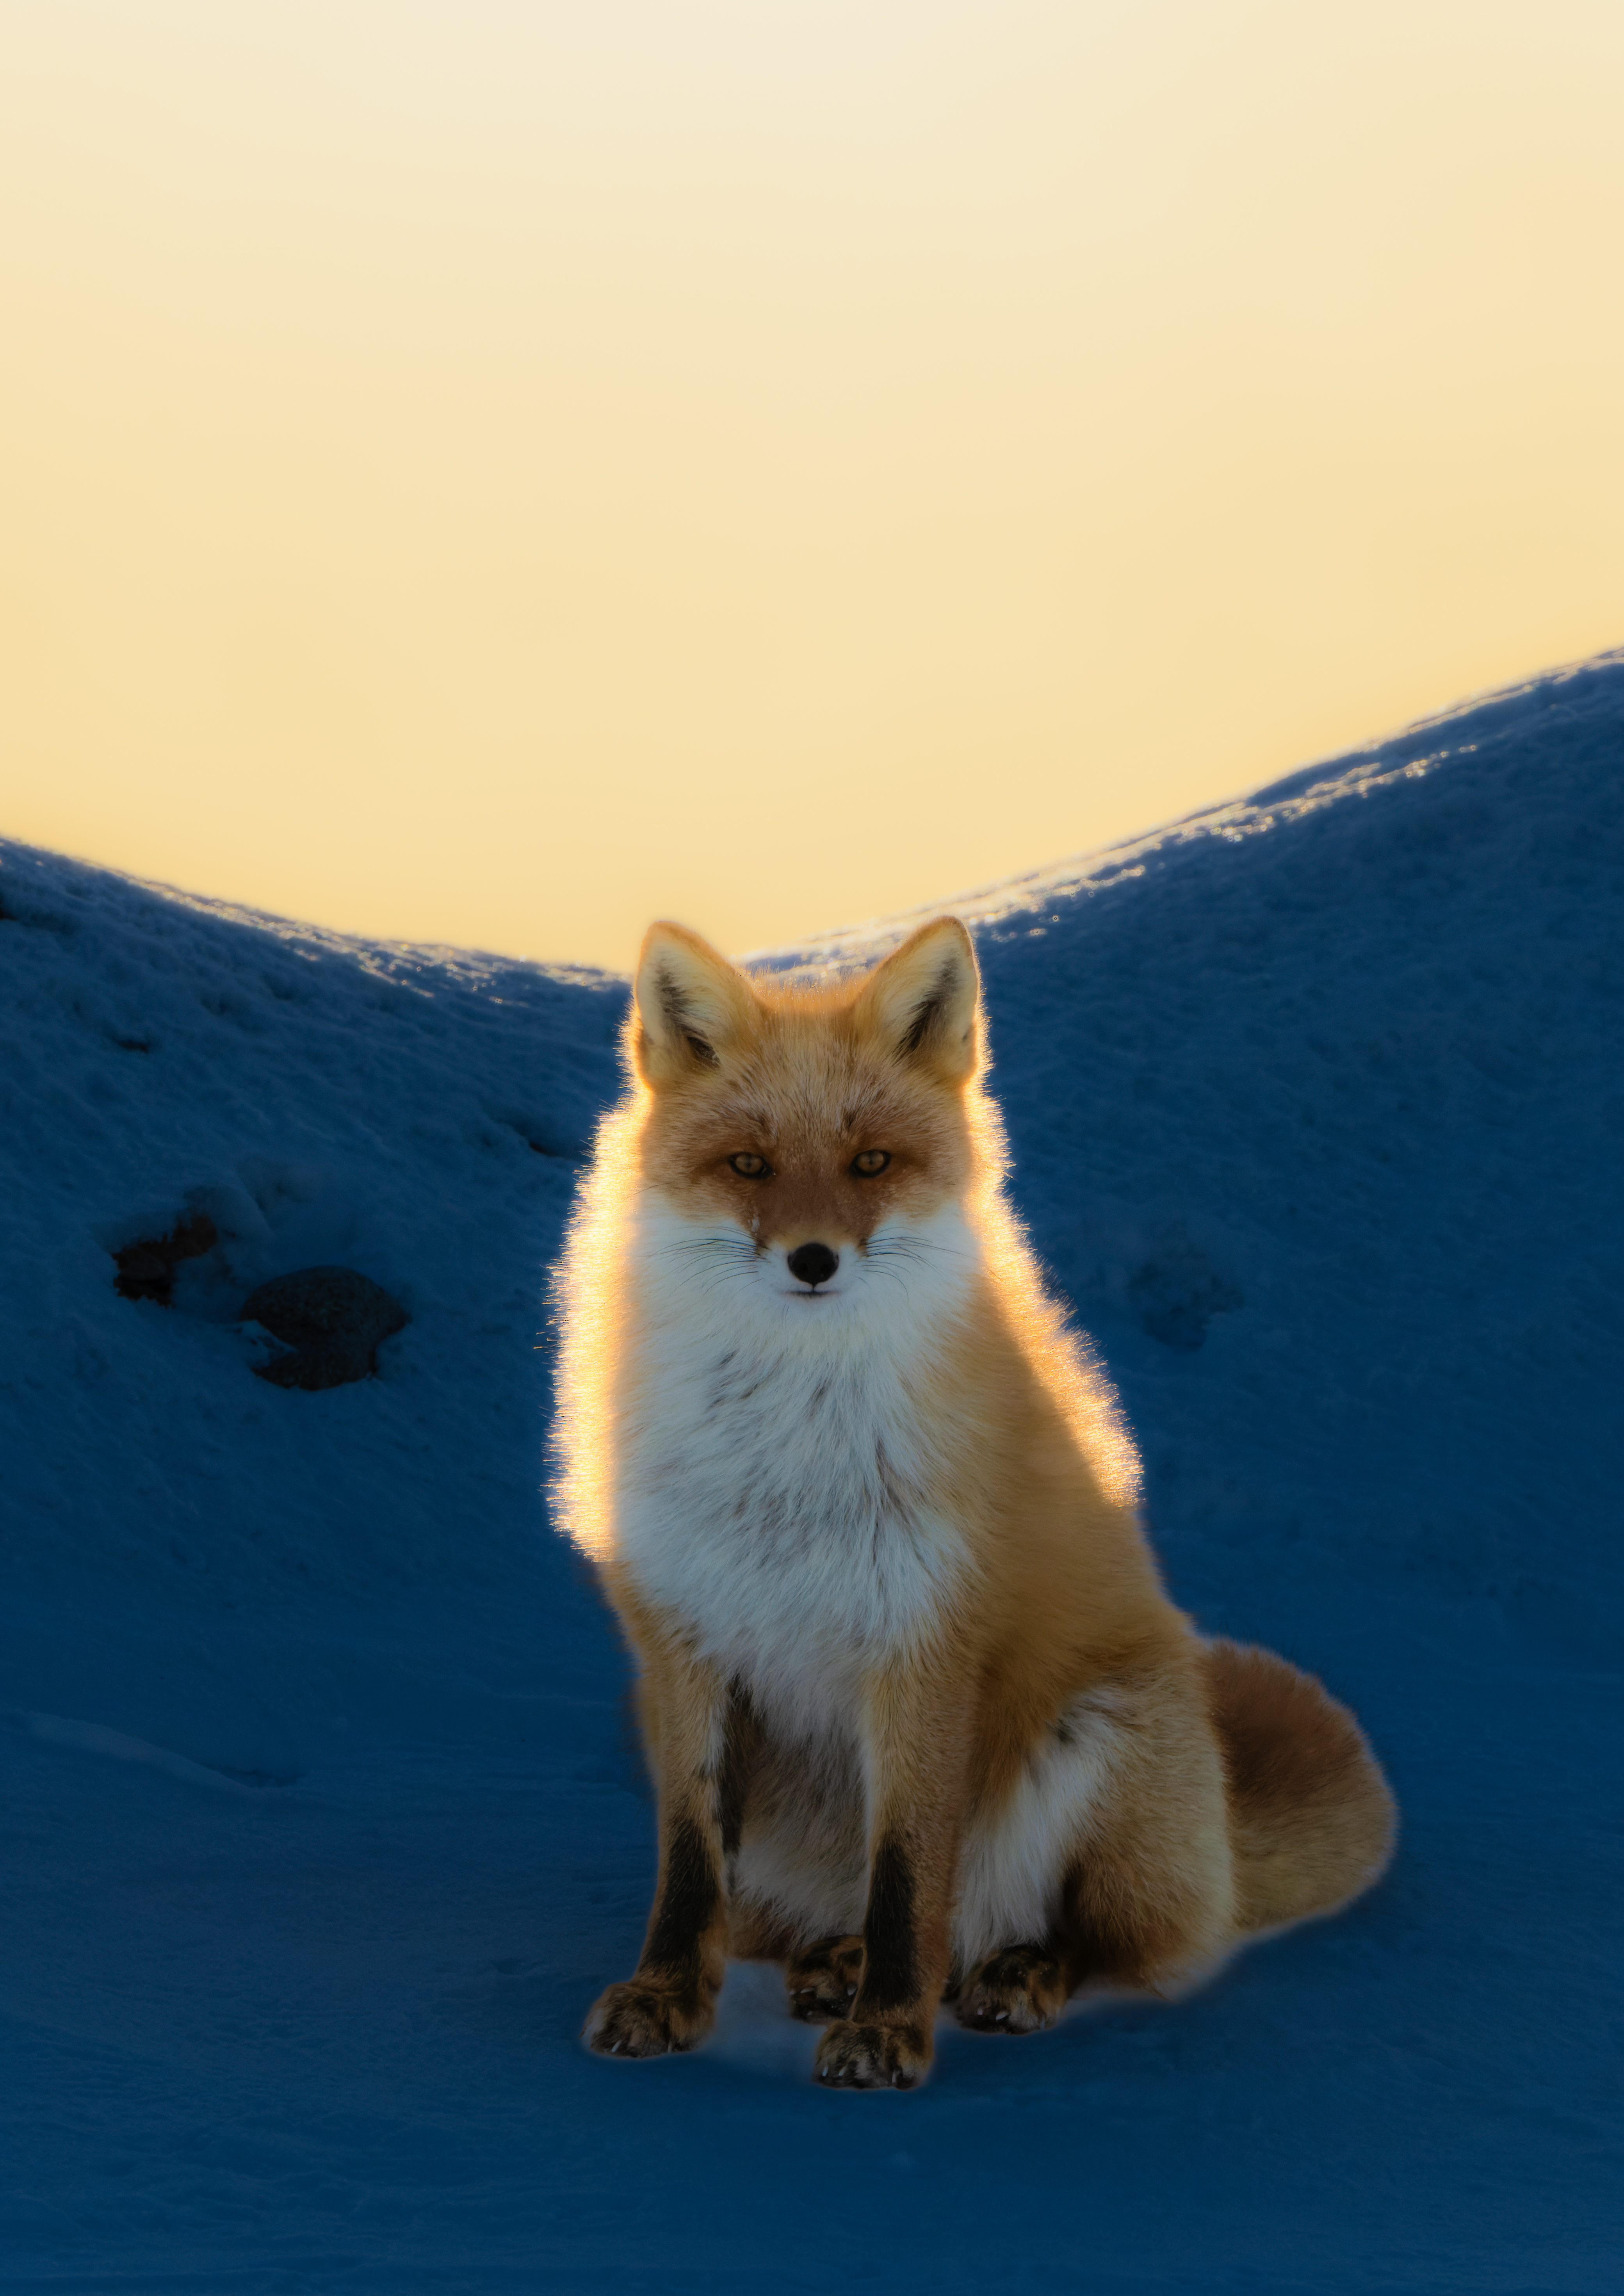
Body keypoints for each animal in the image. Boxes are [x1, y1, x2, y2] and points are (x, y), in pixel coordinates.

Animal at [552, 914, 1395, 2090]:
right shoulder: (683, 1642)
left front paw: (890, 2033)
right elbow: (689, 1869)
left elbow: (911, 1876)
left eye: (870, 1161)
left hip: (1099, 1737)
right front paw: (667, 2000)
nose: (813, 1259)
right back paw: (833, 1961)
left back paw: (1014, 1975)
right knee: (867, 1917)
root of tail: (1223, 1840)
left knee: (1078, 1940)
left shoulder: (923, 1641)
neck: (788, 1453)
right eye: (748, 1165)